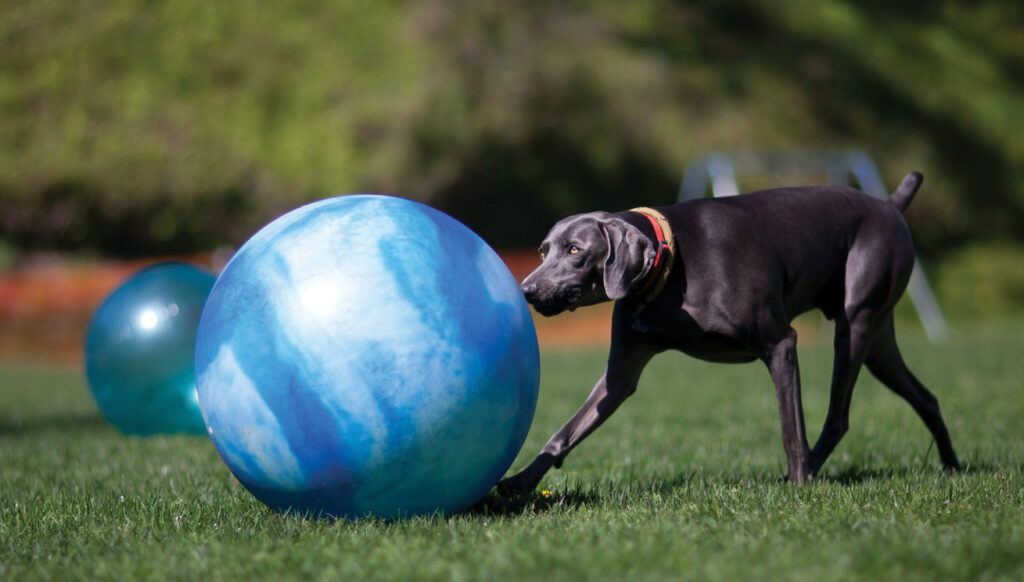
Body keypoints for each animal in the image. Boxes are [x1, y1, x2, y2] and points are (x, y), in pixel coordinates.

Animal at [495, 173, 958, 495]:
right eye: (543, 251)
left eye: (575, 250)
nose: (527, 290)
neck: (671, 270)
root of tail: (888, 205)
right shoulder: (621, 372)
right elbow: (567, 430)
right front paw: (520, 482)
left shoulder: (780, 344)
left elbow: (790, 426)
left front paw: (799, 484)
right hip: (879, 342)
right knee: (926, 397)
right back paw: (952, 467)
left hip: (856, 322)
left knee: (838, 417)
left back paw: (808, 471)